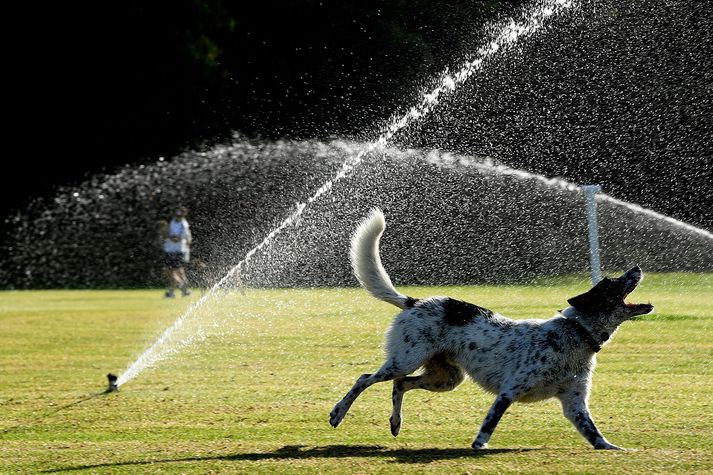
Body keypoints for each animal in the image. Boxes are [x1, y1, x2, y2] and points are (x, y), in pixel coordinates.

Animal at [328, 210, 652, 452]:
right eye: (611, 283)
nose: (637, 267)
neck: (575, 333)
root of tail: (414, 301)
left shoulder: (575, 405)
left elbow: (595, 434)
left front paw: (614, 449)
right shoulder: (509, 391)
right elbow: (489, 423)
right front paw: (479, 446)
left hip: (446, 377)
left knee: (400, 385)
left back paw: (396, 423)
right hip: (405, 359)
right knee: (365, 378)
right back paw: (337, 413)